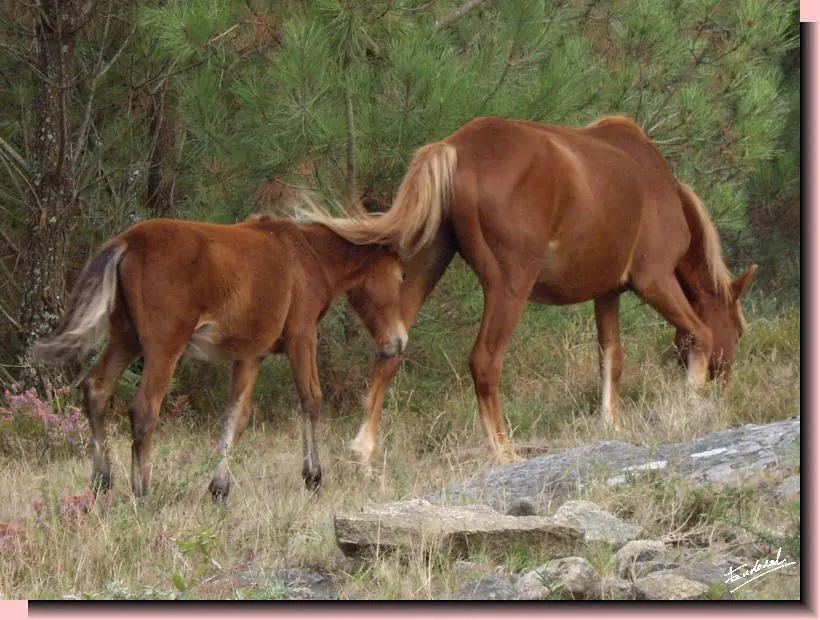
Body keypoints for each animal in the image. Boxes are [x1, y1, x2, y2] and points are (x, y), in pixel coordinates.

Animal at [32, 213, 406, 498]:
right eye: (401, 276)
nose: (399, 341)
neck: (307, 253)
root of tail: (128, 241)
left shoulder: (251, 354)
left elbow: (236, 415)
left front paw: (219, 487)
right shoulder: (302, 336)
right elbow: (311, 399)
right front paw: (313, 476)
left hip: (126, 337)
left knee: (97, 387)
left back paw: (103, 482)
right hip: (164, 345)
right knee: (144, 407)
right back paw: (143, 491)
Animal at [300, 116, 756, 468]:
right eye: (739, 330)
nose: (726, 385)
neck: (656, 182)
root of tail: (455, 148)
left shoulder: (606, 294)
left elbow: (611, 359)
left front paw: (611, 423)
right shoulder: (654, 280)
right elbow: (700, 332)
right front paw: (693, 401)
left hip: (424, 267)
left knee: (390, 350)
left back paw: (364, 449)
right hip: (510, 288)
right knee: (484, 361)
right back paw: (504, 450)